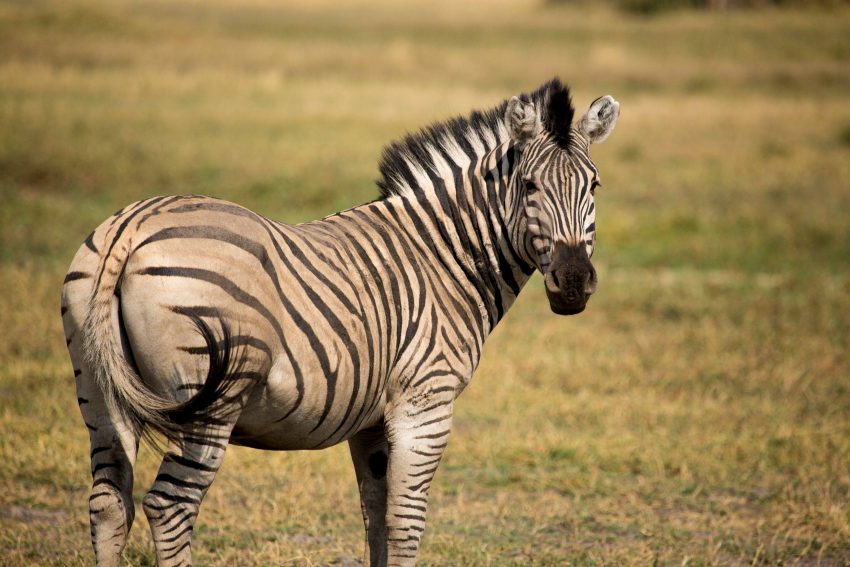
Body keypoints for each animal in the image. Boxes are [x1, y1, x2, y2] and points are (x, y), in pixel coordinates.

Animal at [61, 77, 619, 566]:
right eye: (529, 185)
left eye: (594, 185)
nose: (573, 282)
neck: (443, 258)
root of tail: (131, 228)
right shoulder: (427, 403)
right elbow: (406, 522)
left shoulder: (371, 419)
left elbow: (376, 517)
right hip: (208, 403)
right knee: (170, 507)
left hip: (98, 393)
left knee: (109, 502)